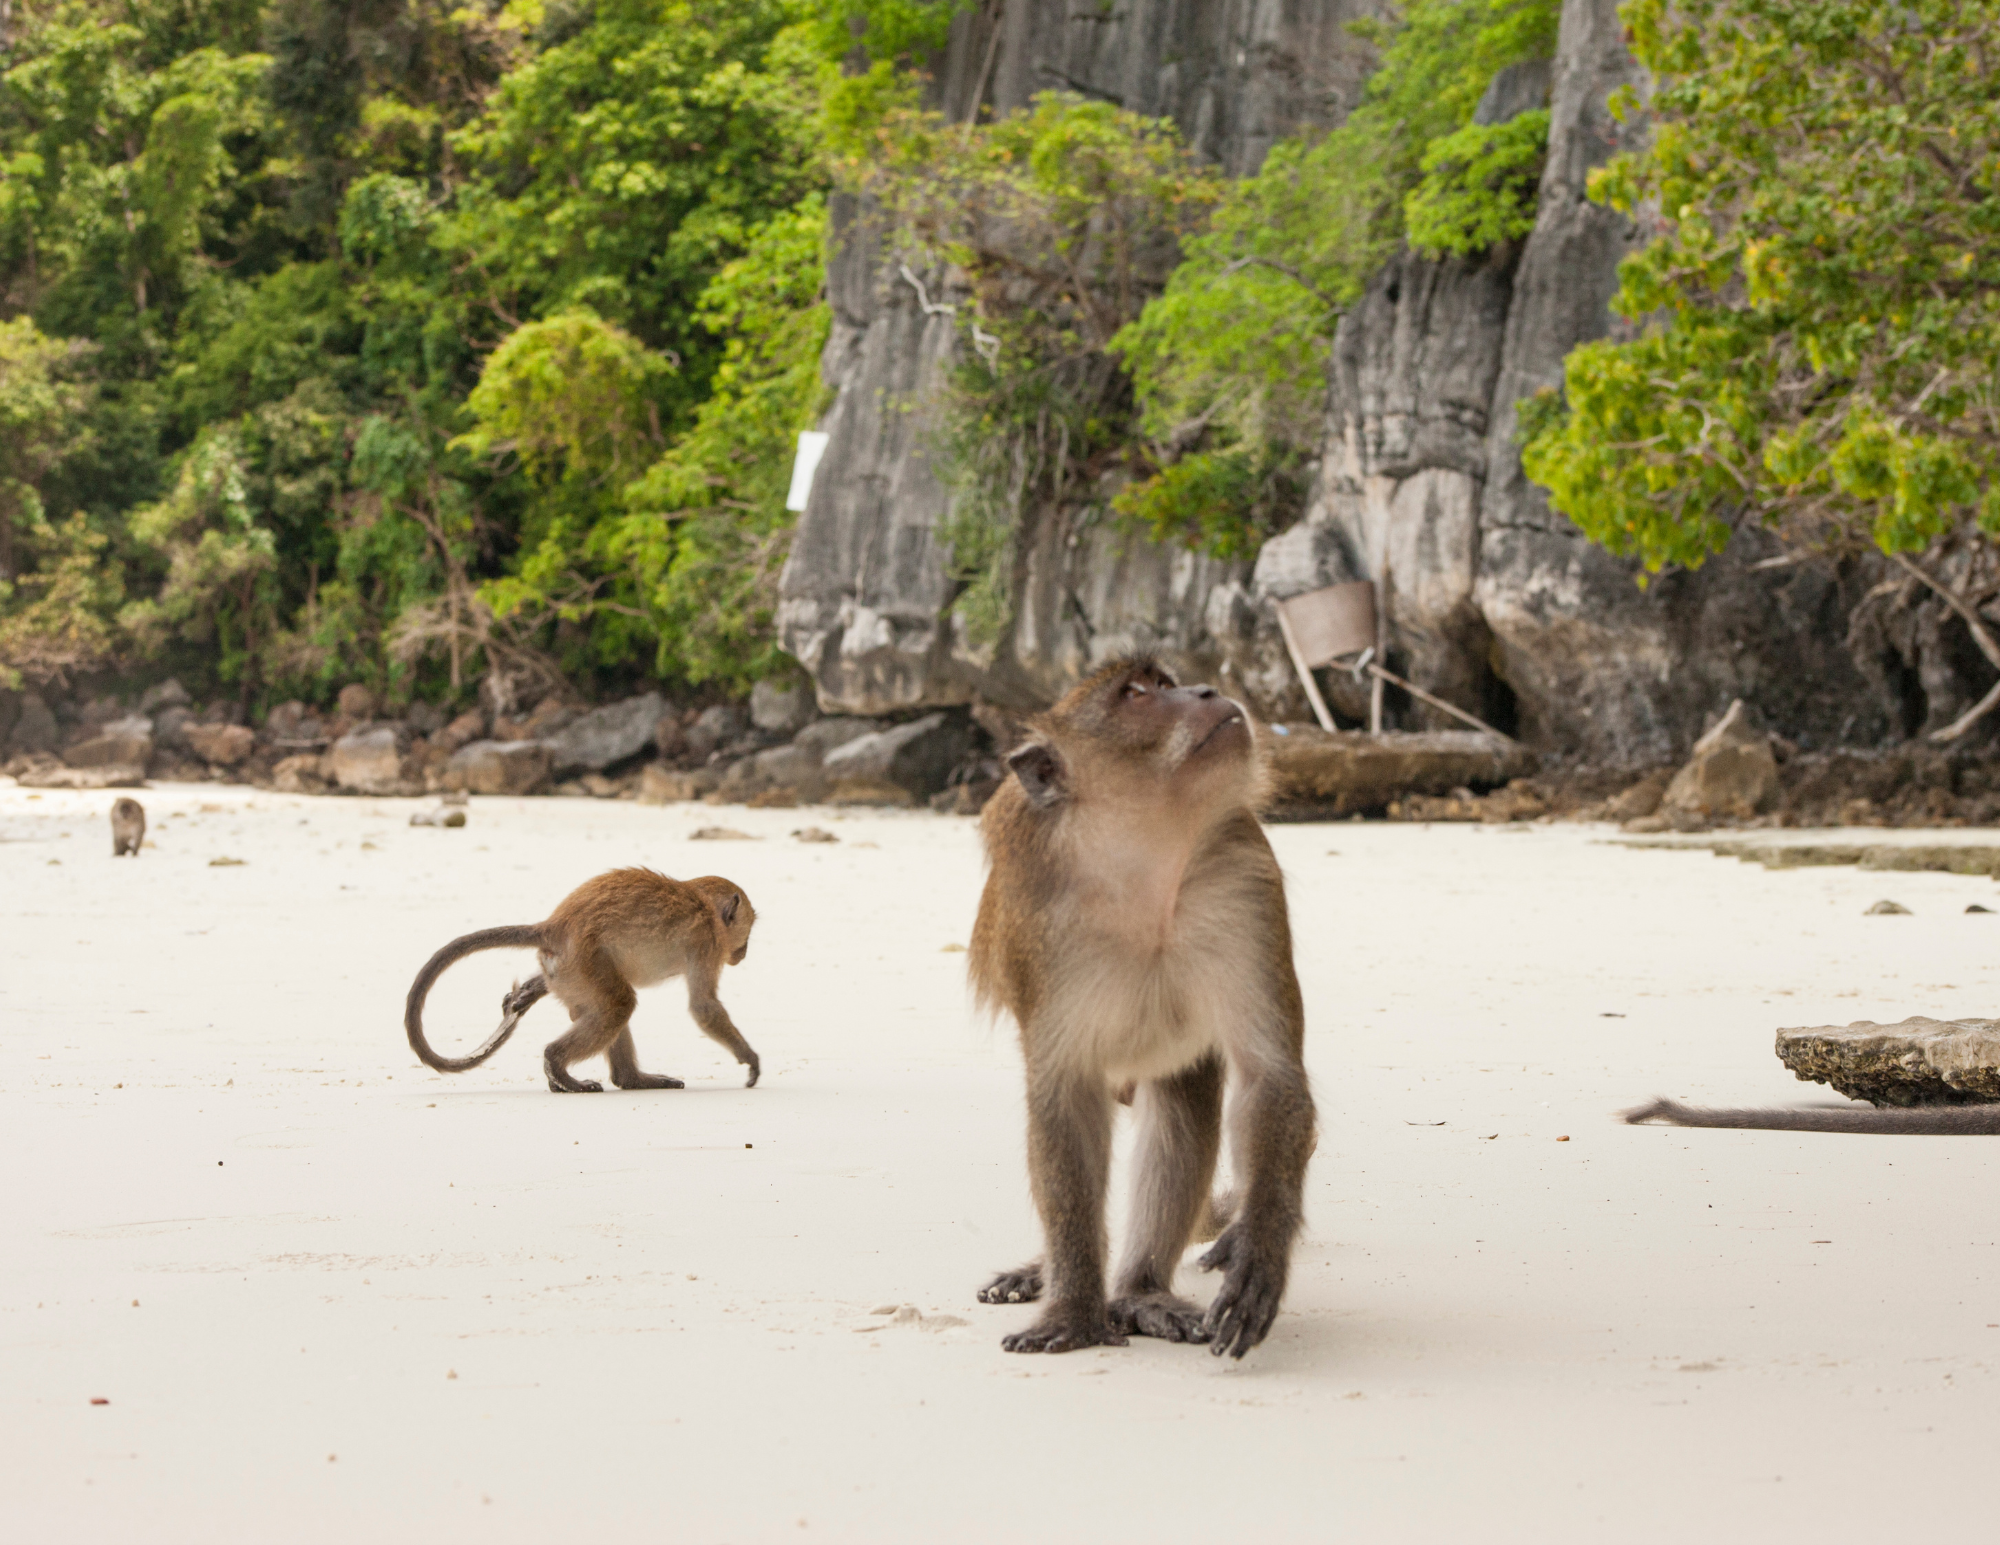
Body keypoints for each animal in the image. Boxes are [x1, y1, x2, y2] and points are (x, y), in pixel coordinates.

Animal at [403, 868, 760, 1093]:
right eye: (748, 929)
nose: (744, 951)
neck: (705, 905)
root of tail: (553, 927)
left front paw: (526, 994)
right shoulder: (707, 943)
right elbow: (703, 1007)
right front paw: (749, 1058)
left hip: (567, 969)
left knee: (611, 1005)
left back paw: (631, 1079)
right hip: (582, 961)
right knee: (618, 1005)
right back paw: (557, 1064)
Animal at [967, 656, 1317, 1360]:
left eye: (1170, 681)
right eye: (1136, 694)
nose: (1207, 690)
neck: (1143, 865)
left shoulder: (1246, 883)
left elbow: (1269, 1077)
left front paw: (1260, 1249)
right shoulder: (1039, 927)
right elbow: (1064, 1102)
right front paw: (1073, 1308)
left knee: (1184, 1104)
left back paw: (1138, 1292)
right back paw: (1056, 1274)